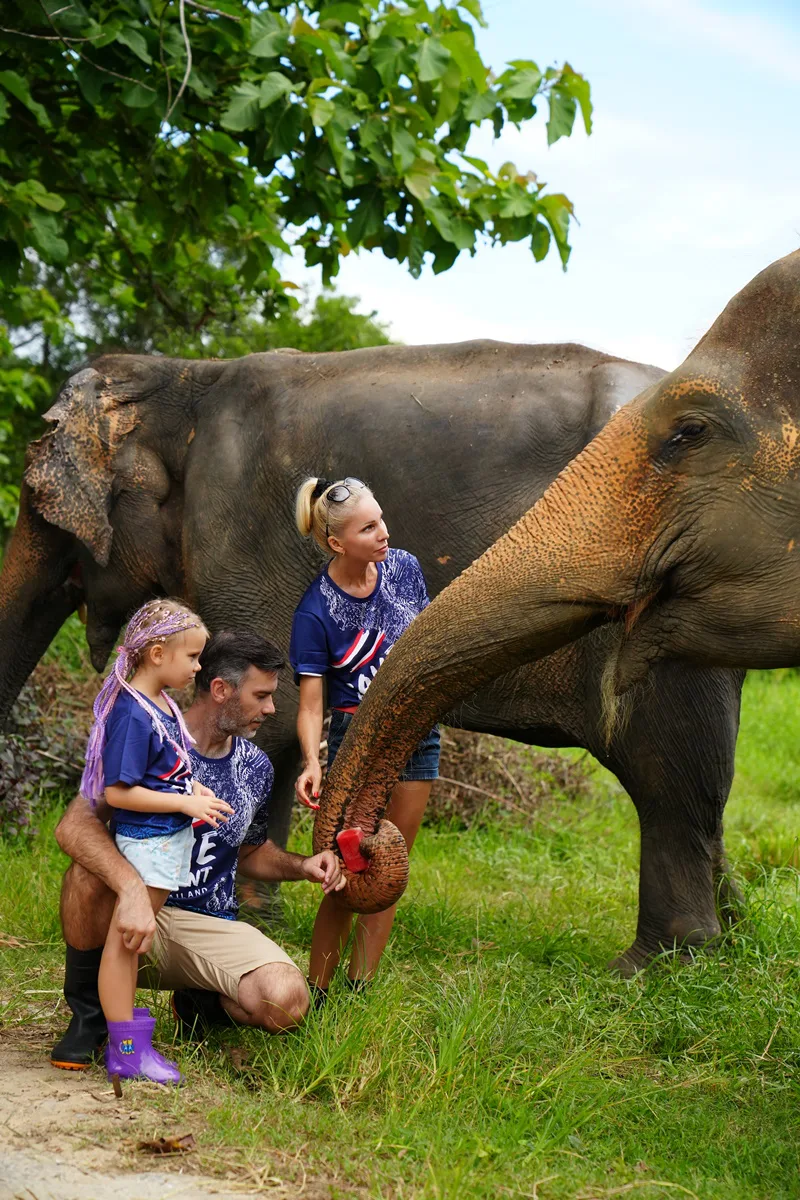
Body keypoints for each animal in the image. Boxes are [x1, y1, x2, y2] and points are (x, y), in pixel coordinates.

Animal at [0, 338, 745, 971]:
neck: (182, 377)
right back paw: (734, 940)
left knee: (670, 782)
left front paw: (251, 910)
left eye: (36, 501)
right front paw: (267, 910)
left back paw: (653, 966)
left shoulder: (236, 528)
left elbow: (269, 717)